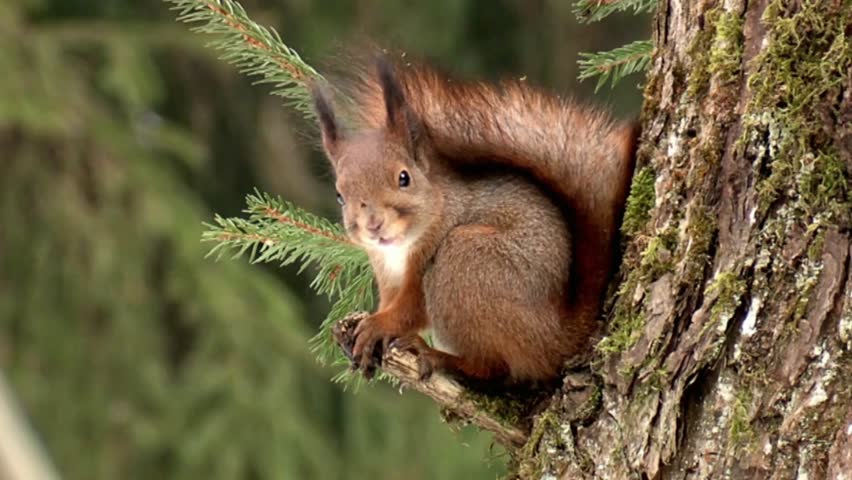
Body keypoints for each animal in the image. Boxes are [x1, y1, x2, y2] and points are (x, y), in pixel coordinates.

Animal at [312, 54, 639, 383]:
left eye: (404, 178)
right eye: (340, 196)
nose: (374, 225)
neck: (399, 249)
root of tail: (560, 334)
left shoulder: (426, 260)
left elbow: (410, 309)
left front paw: (378, 325)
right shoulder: (386, 274)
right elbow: (390, 301)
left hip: (466, 262)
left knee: (491, 367)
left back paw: (437, 356)